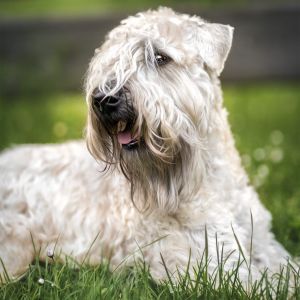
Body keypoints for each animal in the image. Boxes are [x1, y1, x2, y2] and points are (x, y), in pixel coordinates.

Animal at [0, 6, 292, 284]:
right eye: (110, 61)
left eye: (160, 57)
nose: (104, 99)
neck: (207, 180)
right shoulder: (211, 263)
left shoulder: (264, 246)